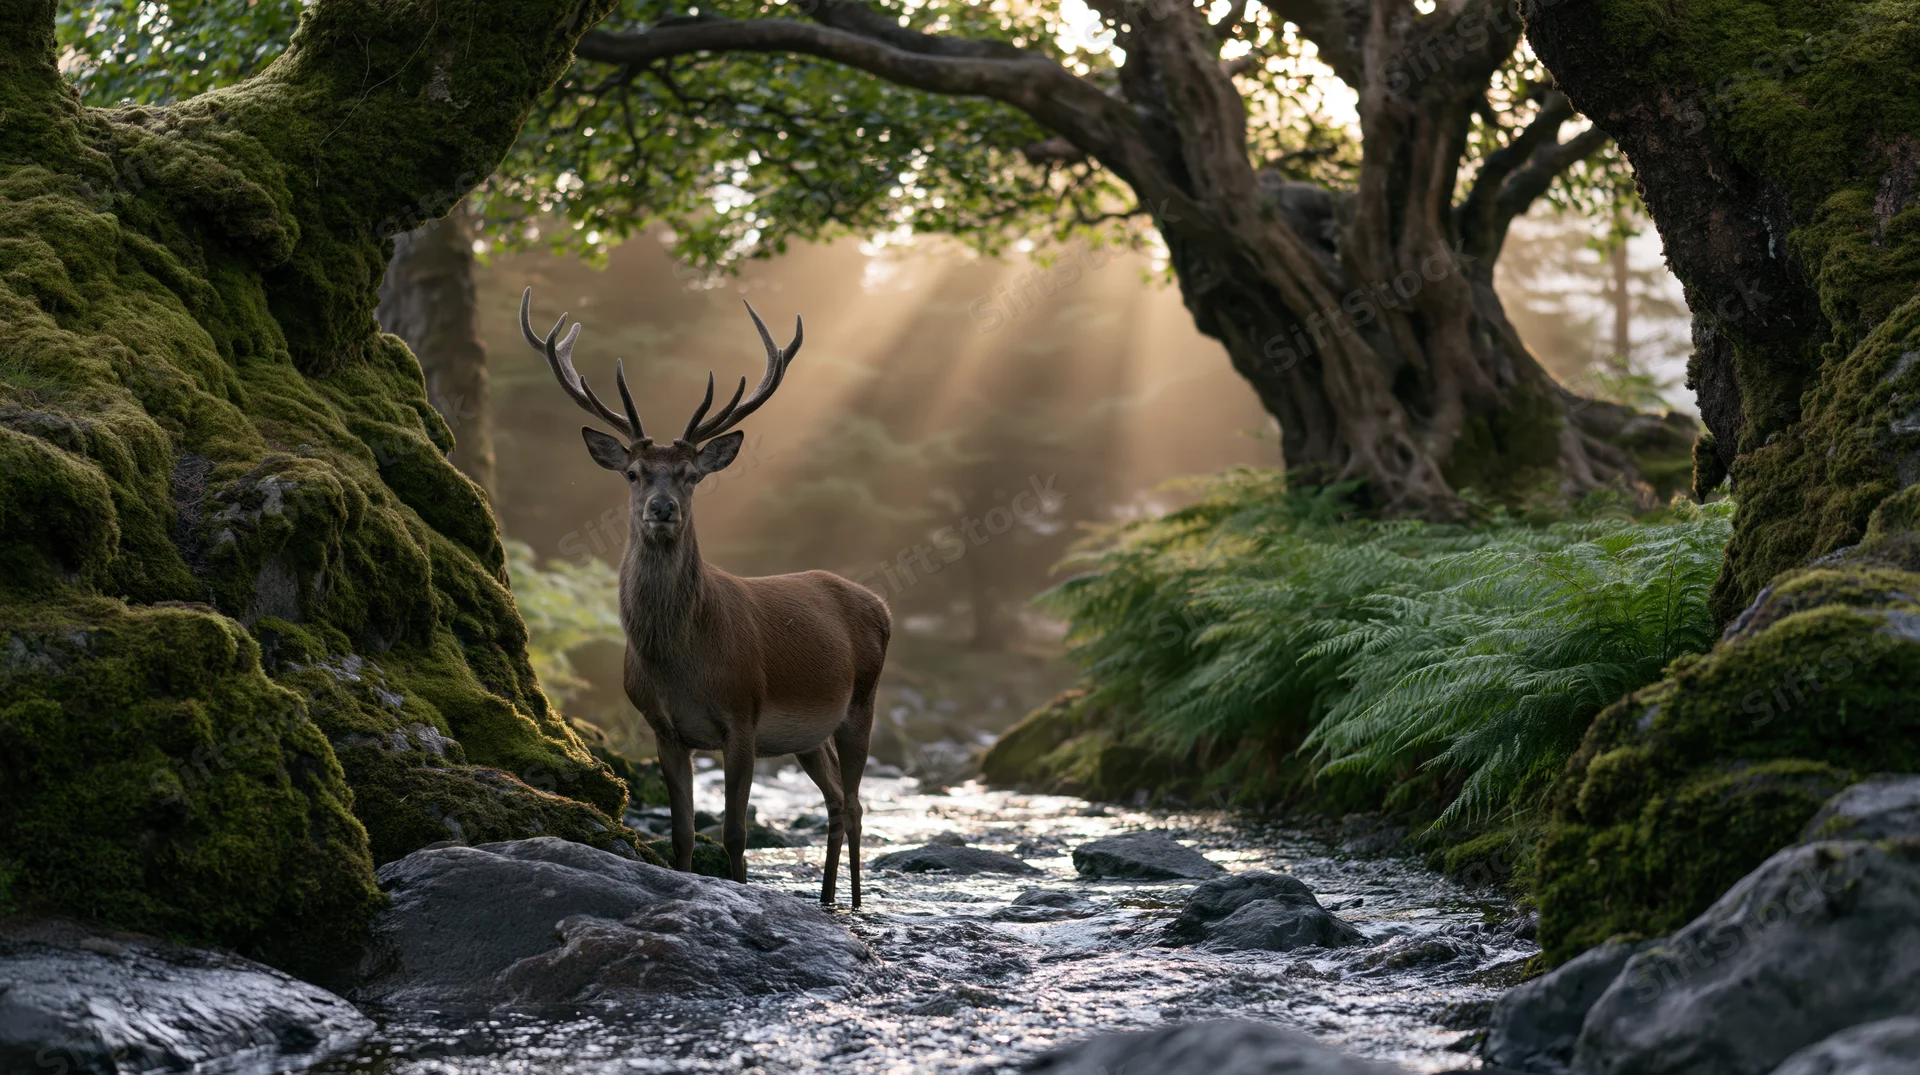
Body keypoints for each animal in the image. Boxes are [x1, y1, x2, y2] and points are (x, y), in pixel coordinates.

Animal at [518, 287, 890, 908]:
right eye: (634, 473)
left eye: (692, 475)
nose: (662, 508)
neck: (681, 661)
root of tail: (882, 605)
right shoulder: (664, 729)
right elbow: (684, 833)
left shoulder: (742, 716)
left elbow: (736, 833)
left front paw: (740, 892)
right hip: (807, 736)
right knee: (837, 800)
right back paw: (825, 897)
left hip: (861, 700)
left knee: (859, 803)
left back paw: (857, 902)